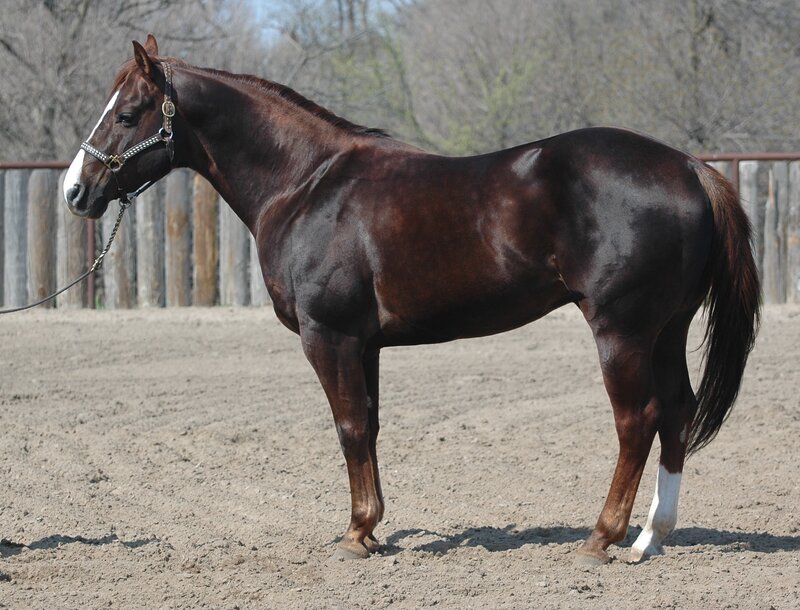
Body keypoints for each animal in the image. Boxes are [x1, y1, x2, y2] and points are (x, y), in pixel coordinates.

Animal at [62, 35, 760, 565]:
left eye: (127, 115)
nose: (75, 191)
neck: (306, 184)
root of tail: (689, 167)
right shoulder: (364, 343)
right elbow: (369, 425)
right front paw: (371, 529)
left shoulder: (329, 335)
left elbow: (347, 427)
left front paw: (354, 535)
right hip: (666, 331)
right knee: (677, 413)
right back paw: (649, 539)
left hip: (622, 330)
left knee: (637, 420)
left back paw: (600, 538)